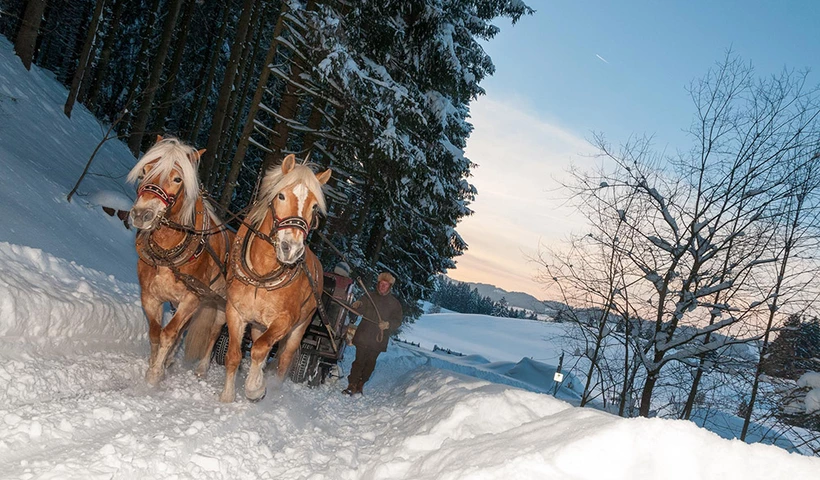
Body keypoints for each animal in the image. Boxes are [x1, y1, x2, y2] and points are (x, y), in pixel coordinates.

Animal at [126, 135, 234, 386]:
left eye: (177, 179)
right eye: (145, 170)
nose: (141, 214)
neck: (167, 252)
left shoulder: (191, 298)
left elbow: (169, 333)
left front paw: (155, 375)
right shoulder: (150, 296)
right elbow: (156, 333)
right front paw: (155, 365)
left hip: (221, 305)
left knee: (213, 332)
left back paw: (202, 368)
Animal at [221, 154, 334, 402]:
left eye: (314, 206)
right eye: (281, 195)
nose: (291, 248)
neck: (262, 274)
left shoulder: (285, 320)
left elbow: (260, 350)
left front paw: (255, 388)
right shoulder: (235, 312)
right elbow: (234, 354)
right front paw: (227, 395)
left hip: (300, 327)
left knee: (282, 361)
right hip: (258, 324)